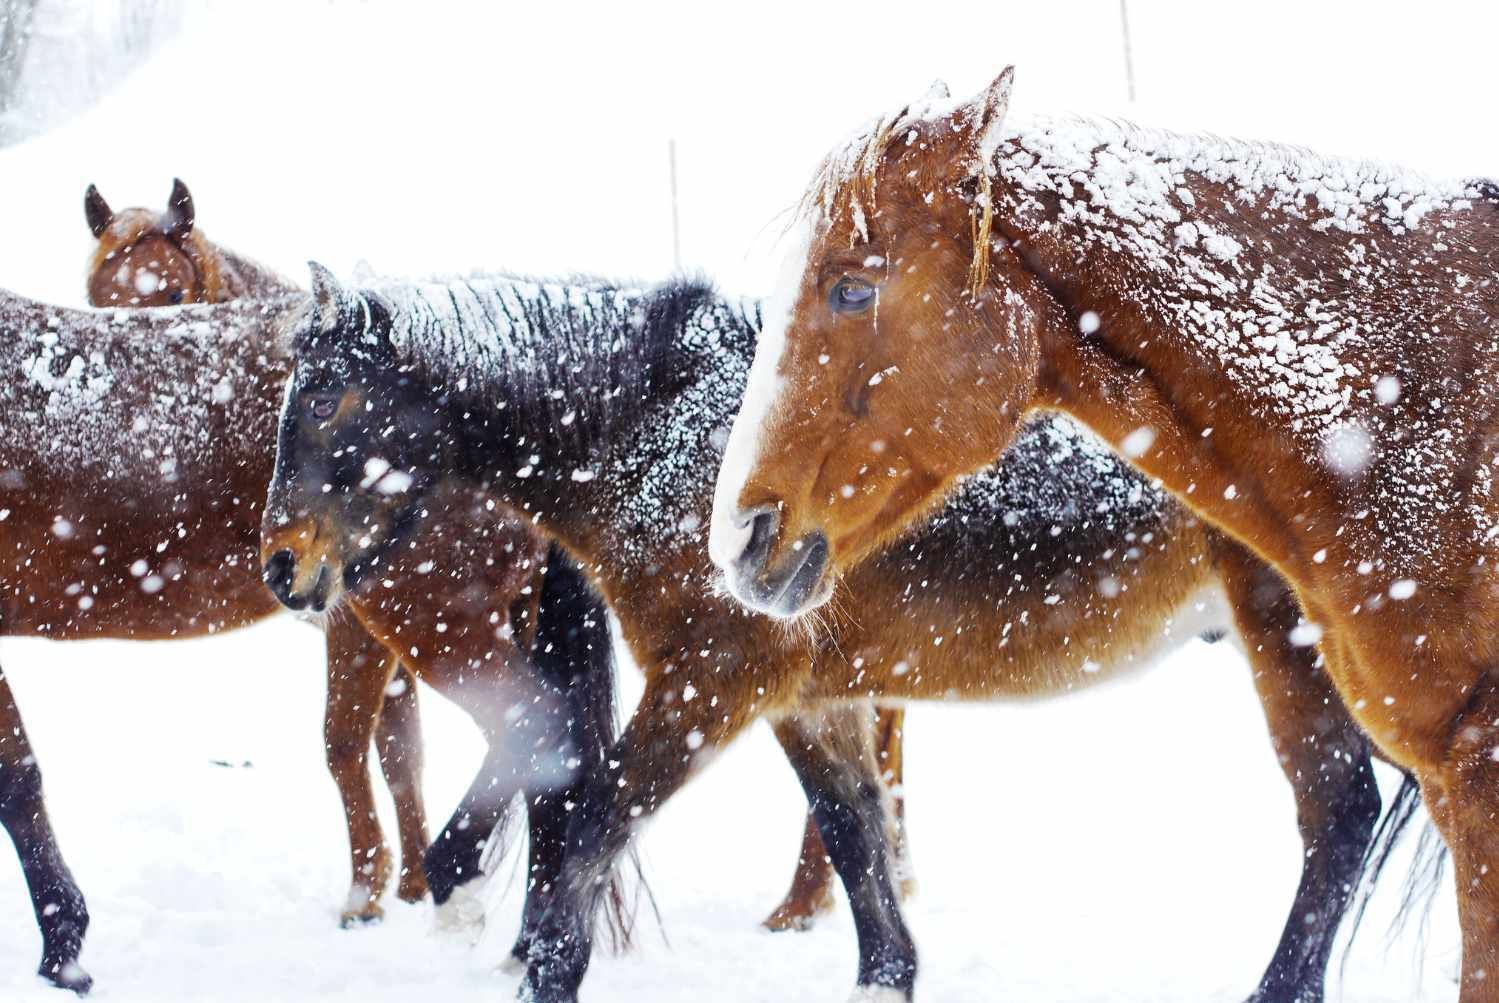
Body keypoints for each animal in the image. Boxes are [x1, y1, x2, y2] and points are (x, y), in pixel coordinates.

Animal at [262, 265, 1416, 1003]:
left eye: (326, 397)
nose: (280, 564)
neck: (661, 431)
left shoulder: (710, 682)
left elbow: (584, 833)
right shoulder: (808, 699)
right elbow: (859, 850)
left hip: (1293, 653)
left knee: (1337, 817)